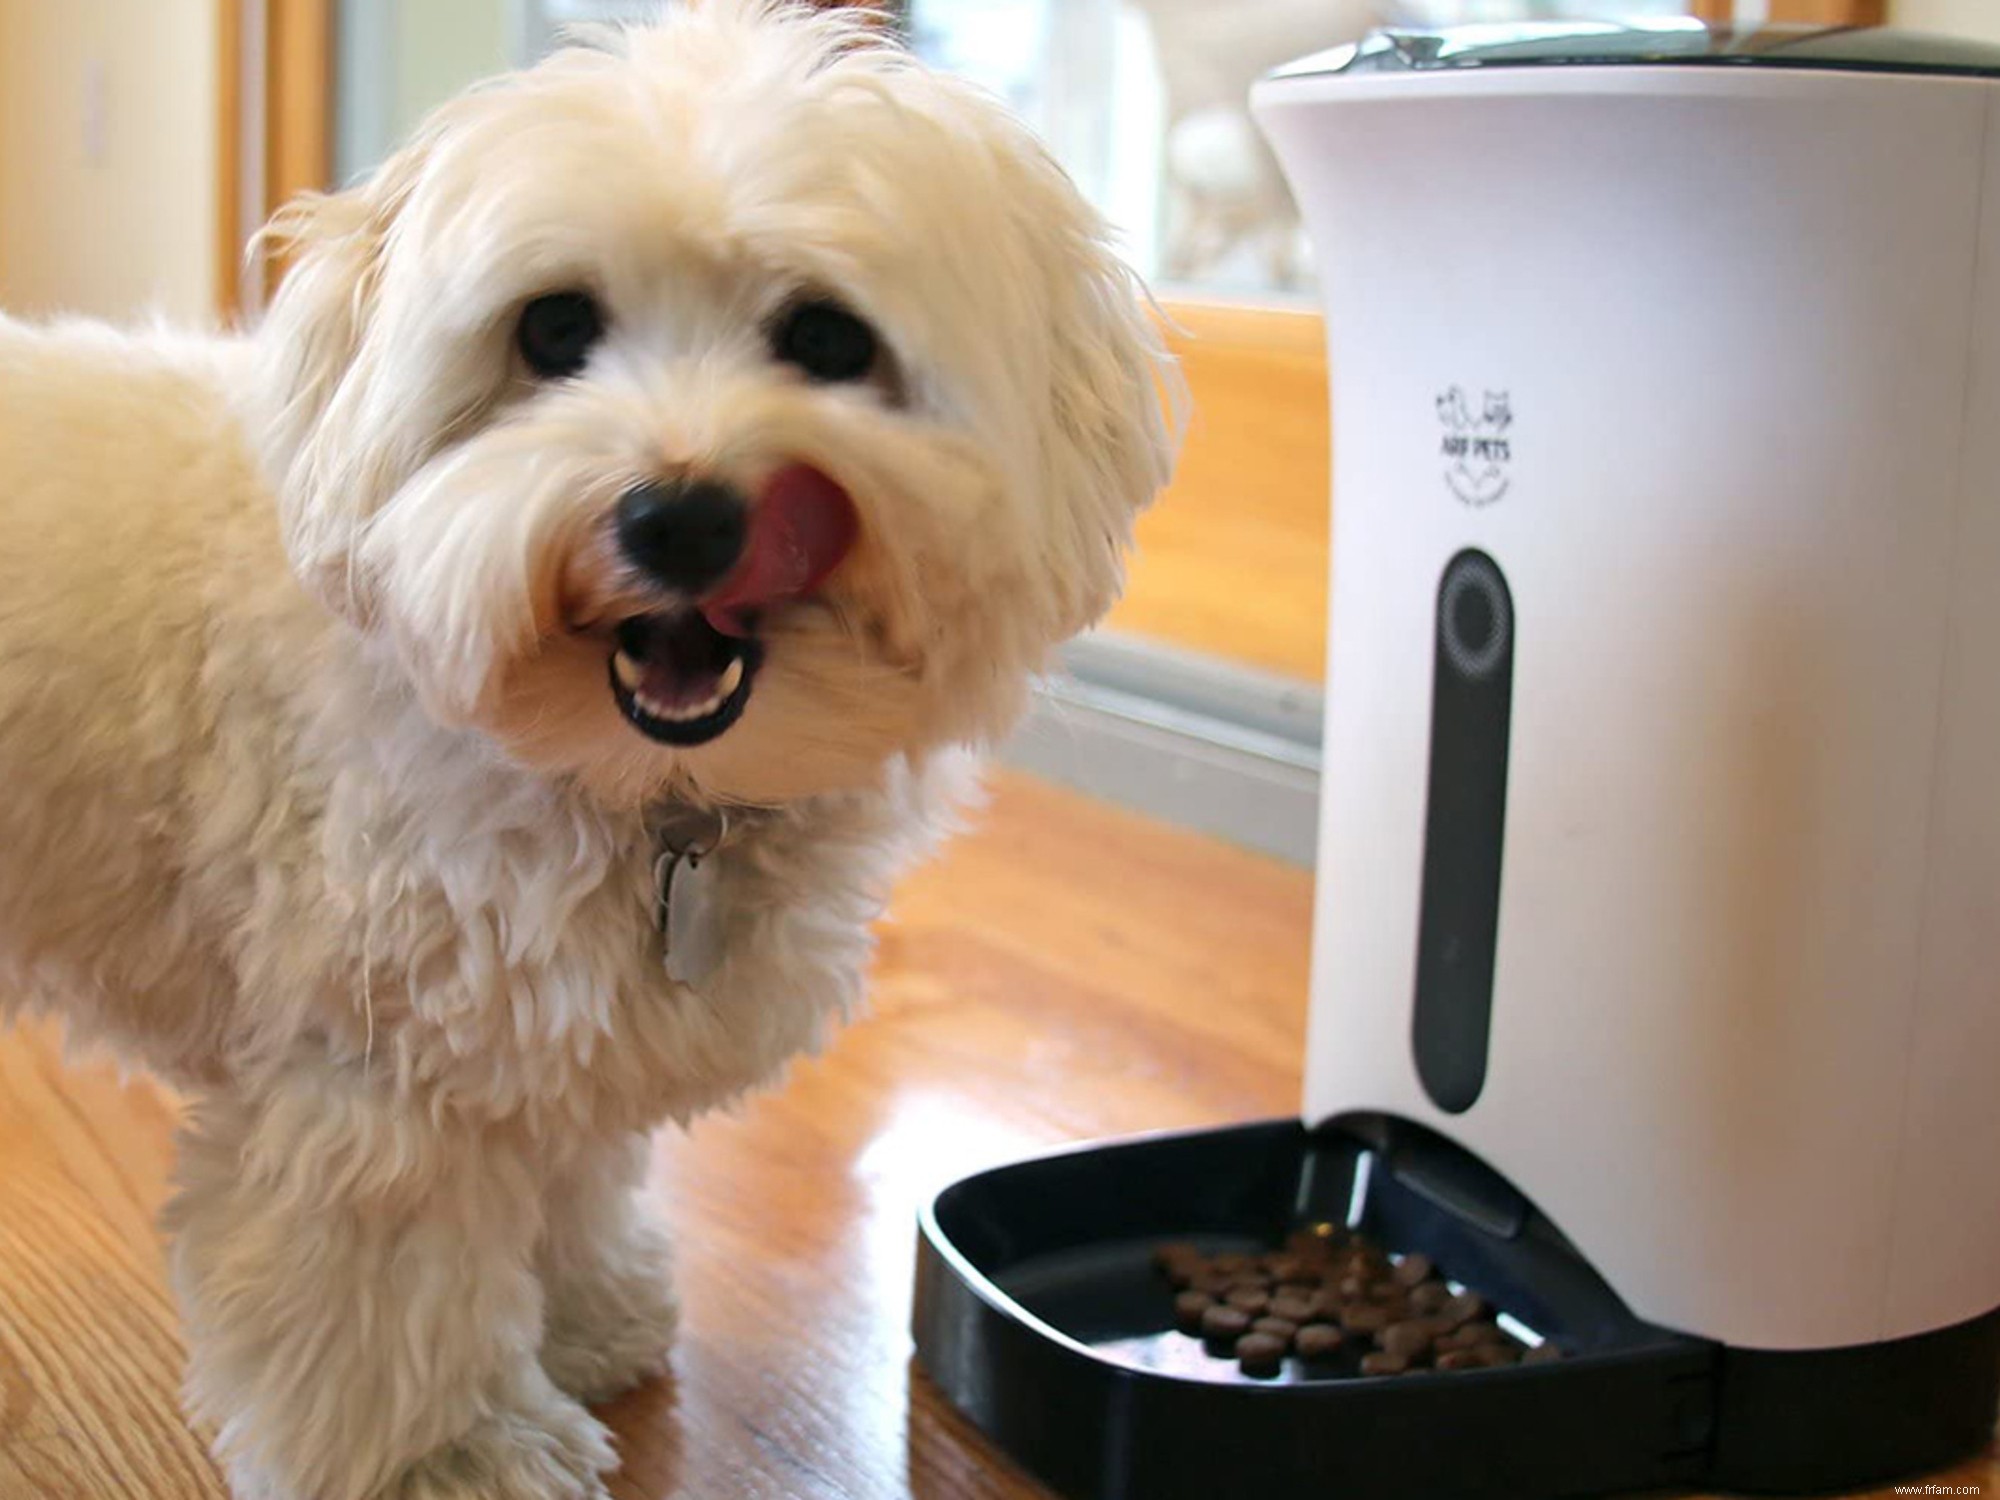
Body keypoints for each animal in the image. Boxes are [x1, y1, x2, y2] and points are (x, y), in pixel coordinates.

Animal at [0, 5, 1168, 1496]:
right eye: (551, 327)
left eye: (826, 337)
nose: (681, 516)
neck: (634, 792)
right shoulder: (371, 1076)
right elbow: (388, 1292)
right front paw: (447, 1452)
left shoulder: (544, 1023)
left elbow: (565, 1179)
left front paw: (584, 1315)